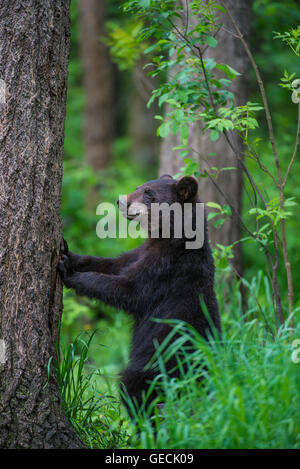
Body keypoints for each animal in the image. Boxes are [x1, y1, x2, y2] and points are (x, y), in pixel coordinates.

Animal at [59, 176, 221, 416]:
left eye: (149, 193)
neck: (170, 239)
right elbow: (112, 263)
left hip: (159, 361)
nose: (120, 201)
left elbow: (128, 290)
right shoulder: (140, 254)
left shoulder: (166, 271)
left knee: (135, 389)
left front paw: (69, 273)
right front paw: (68, 254)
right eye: (139, 187)